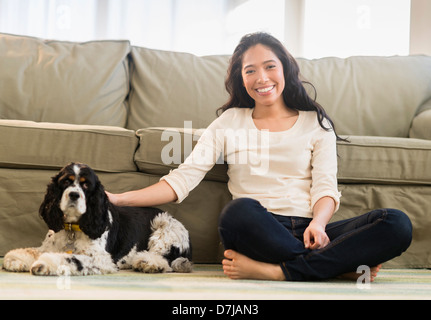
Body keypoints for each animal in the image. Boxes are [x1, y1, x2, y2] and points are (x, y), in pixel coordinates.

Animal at [2, 162, 192, 276]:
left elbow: (71, 258)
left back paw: (148, 263)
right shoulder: (50, 245)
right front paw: (15, 259)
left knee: (166, 261)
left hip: (164, 226)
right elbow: (33, 251)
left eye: (86, 184)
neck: (73, 227)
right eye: (66, 182)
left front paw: (44, 264)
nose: (74, 194)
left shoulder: (101, 258)